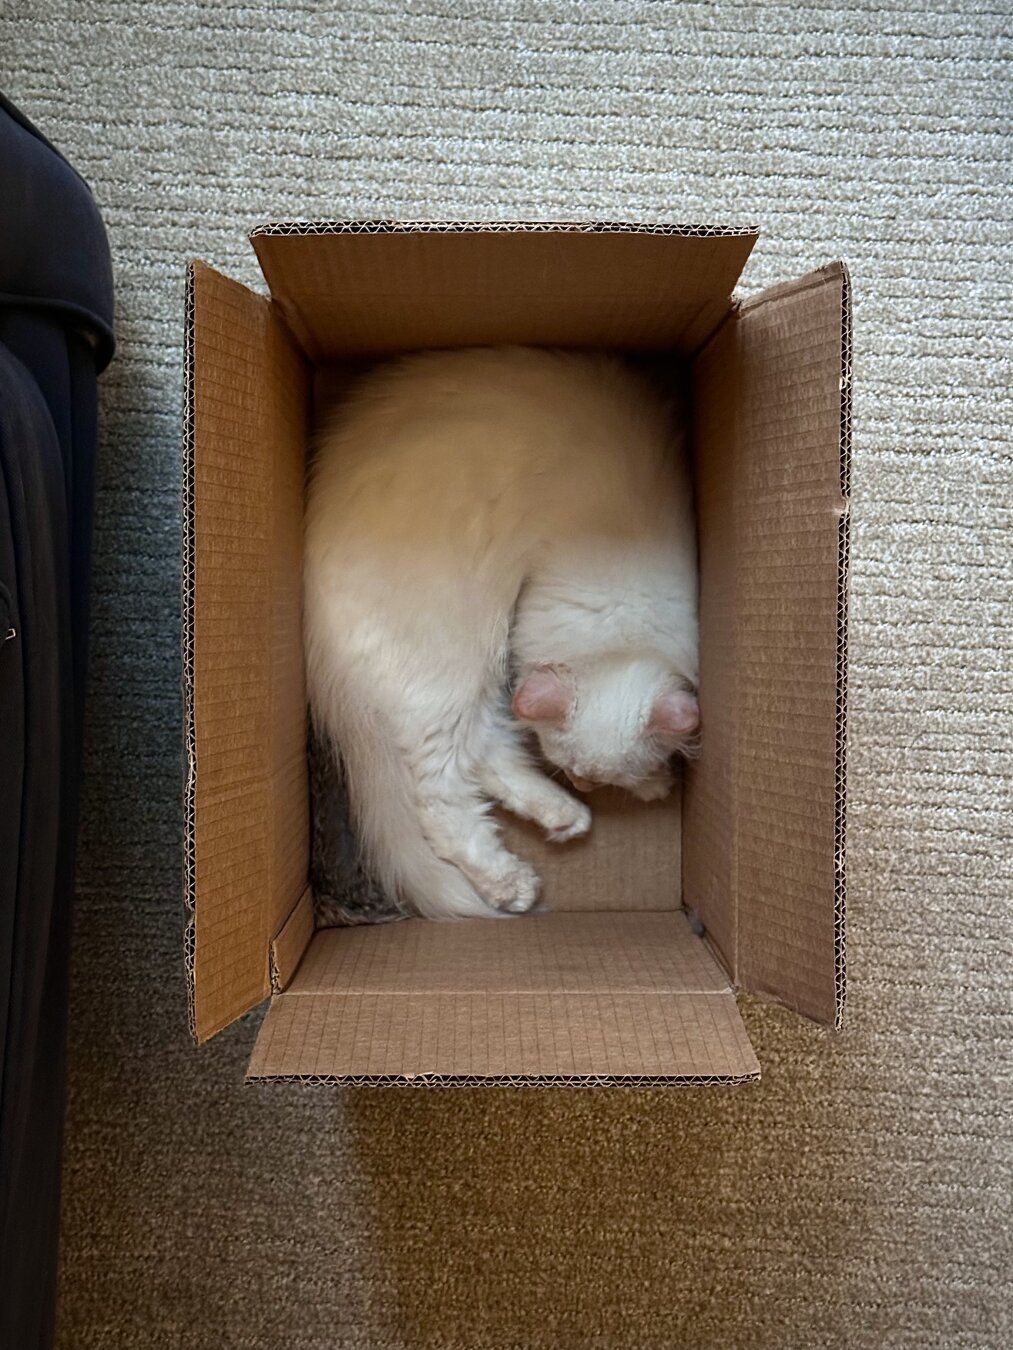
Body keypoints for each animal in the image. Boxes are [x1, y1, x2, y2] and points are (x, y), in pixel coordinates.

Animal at [303, 342, 696, 923]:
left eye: (596, 775)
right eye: (570, 765)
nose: (584, 785)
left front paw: (649, 782)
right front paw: (656, 784)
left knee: (484, 751)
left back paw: (563, 816)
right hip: (450, 667)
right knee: (441, 793)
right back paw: (512, 884)